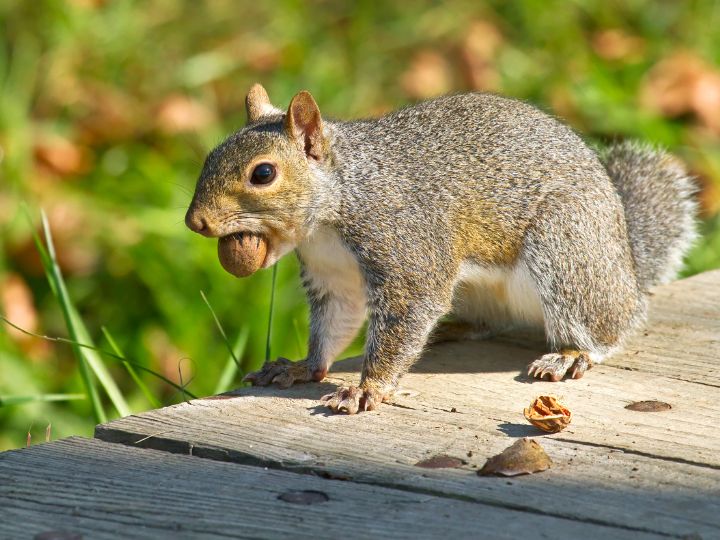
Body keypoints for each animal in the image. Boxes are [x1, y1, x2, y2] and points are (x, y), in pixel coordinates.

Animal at [186, 83, 696, 414]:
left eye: (263, 173)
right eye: (209, 156)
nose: (196, 221)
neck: (330, 216)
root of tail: (627, 266)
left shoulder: (407, 249)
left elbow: (406, 315)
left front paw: (367, 389)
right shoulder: (334, 280)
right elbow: (333, 326)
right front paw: (301, 368)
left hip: (565, 251)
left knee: (607, 326)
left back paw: (572, 353)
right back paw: (456, 327)